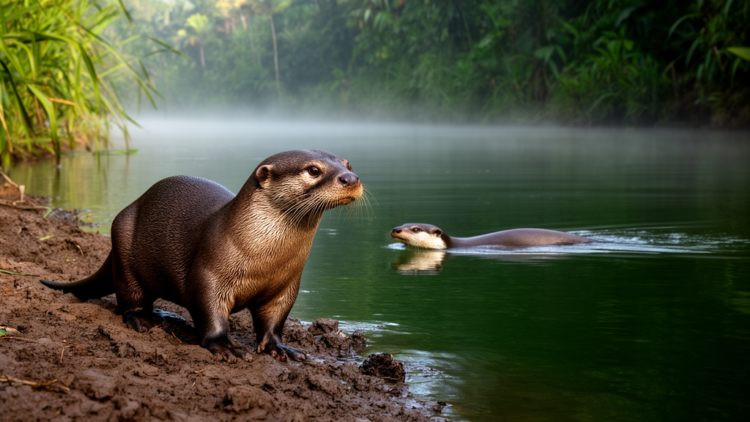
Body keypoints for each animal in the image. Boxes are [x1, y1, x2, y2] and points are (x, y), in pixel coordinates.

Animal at [41, 150, 362, 363]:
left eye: (348, 164)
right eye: (313, 170)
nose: (351, 178)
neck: (265, 258)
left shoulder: (286, 286)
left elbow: (275, 319)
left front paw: (279, 348)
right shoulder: (209, 274)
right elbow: (209, 310)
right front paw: (225, 346)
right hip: (121, 241)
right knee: (129, 296)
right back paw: (142, 319)